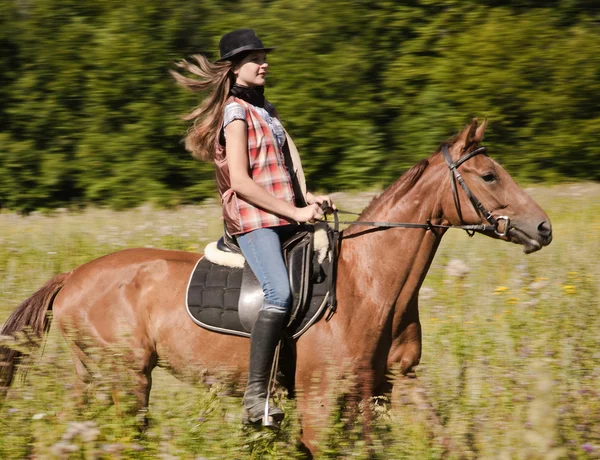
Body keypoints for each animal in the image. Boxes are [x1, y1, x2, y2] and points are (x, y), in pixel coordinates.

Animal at [1, 118, 552, 452]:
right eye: (489, 176)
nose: (544, 228)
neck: (371, 285)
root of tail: (72, 277)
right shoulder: (320, 399)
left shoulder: (392, 383)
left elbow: (442, 439)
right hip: (126, 379)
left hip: (94, 378)